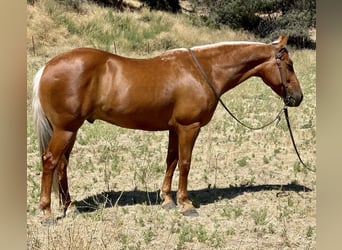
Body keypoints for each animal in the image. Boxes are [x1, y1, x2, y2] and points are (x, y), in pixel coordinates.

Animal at [32, 35, 302, 223]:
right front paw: (186, 204)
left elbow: (171, 160)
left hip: (71, 130)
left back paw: (70, 207)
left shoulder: (174, 128)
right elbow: (185, 163)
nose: (298, 98)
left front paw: (167, 200)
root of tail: (47, 67)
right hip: (65, 129)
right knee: (50, 161)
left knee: (62, 164)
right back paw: (46, 213)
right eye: (289, 65)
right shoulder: (189, 127)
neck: (204, 70)